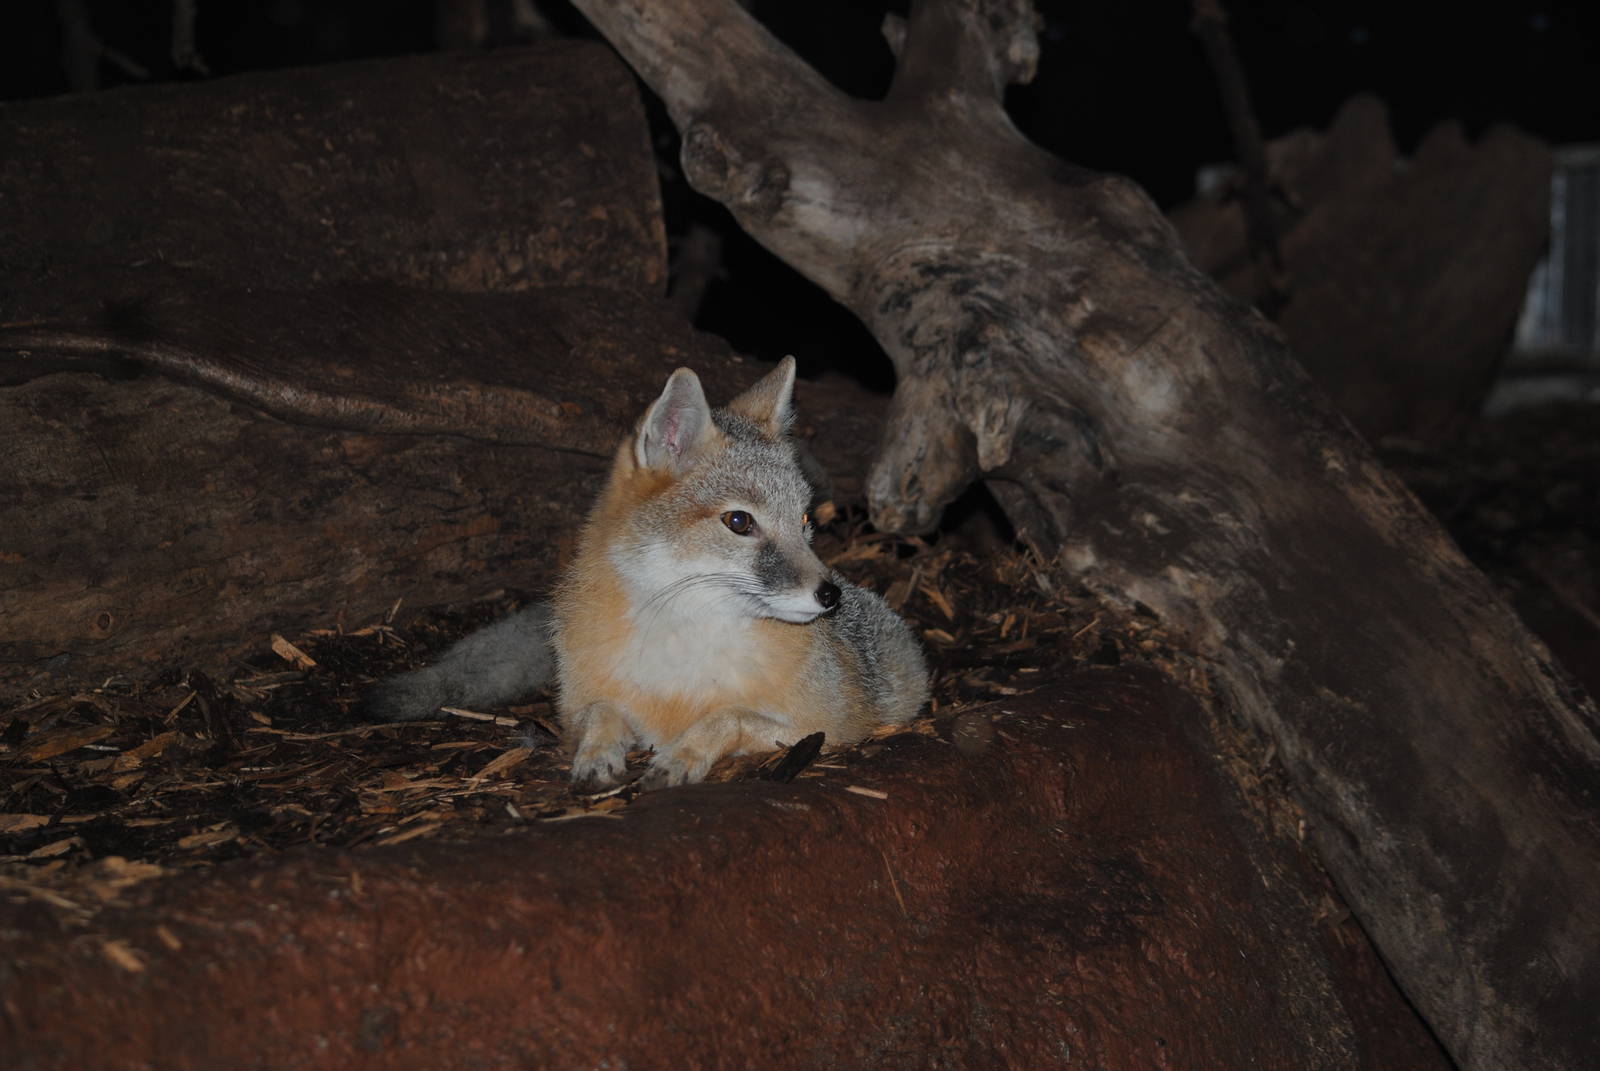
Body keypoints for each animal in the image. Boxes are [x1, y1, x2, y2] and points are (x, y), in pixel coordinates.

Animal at [366, 357, 929, 788]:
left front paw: (683, 754)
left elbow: (729, 715)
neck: (679, 641)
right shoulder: (581, 708)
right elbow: (601, 711)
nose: (830, 595)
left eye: (806, 521)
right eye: (740, 522)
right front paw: (597, 753)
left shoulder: (830, 728)